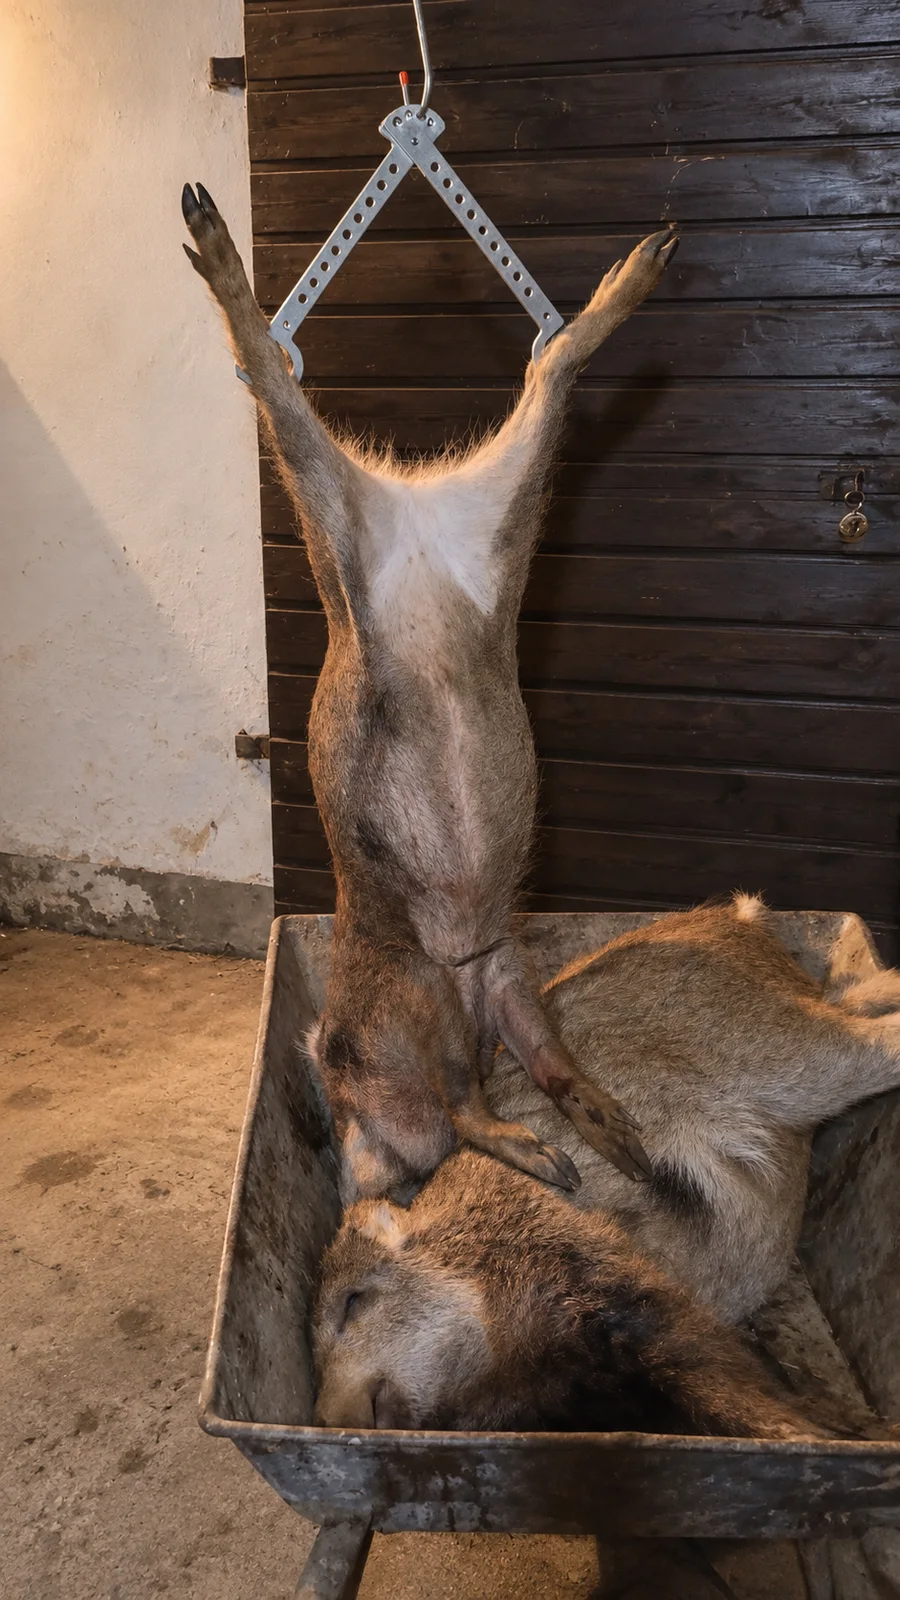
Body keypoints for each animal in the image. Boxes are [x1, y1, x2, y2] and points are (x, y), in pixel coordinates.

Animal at [312, 896, 900, 1434]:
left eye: (353, 1301)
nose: (330, 1419)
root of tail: (738, 916)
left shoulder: (618, 1278)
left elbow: (726, 1385)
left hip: (791, 1055)